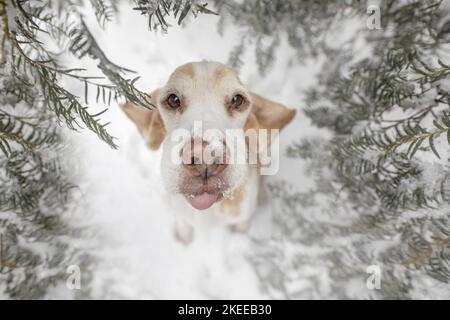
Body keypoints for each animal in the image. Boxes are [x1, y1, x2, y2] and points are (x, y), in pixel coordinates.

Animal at [121, 60, 296, 242]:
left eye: (237, 100)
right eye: (173, 99)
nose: (205, 158)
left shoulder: (243, 219)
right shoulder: (180, 215)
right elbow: (183, 231)